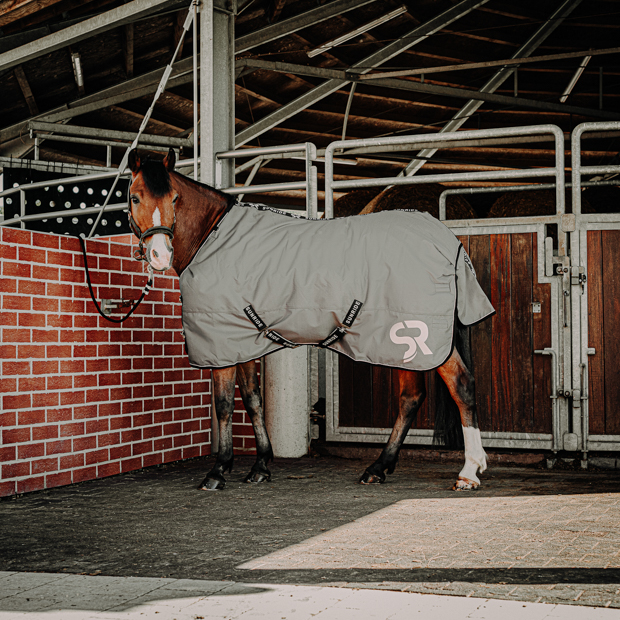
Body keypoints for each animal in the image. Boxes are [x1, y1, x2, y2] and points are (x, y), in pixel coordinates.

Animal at [127, 148, 494, 492]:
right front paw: (260, 465)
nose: (159, 255)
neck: (214, 237)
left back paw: (468, 472)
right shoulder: (241, 340)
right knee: (411, 397)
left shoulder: (222, 342)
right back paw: (379, 468)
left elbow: (224, 404)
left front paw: (218, 471)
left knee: (461, 385)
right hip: (405, 344)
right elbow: (252, 400)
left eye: (174, 198)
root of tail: (449, 241)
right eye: (134, 197)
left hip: (422, 336)